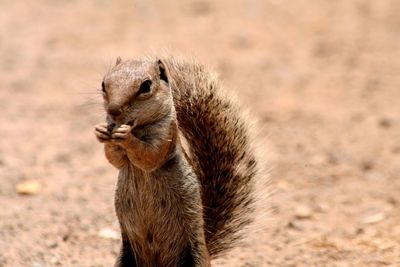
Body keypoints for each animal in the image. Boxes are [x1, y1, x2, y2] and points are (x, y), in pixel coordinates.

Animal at [94, 56, 268, 267]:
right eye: (103, 84)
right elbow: (116, 160)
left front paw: (127, 137)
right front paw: (101, 132)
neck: (138, 128)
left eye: (146, 86)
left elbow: (149, 156)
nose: (113, 110)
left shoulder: (166, 137)